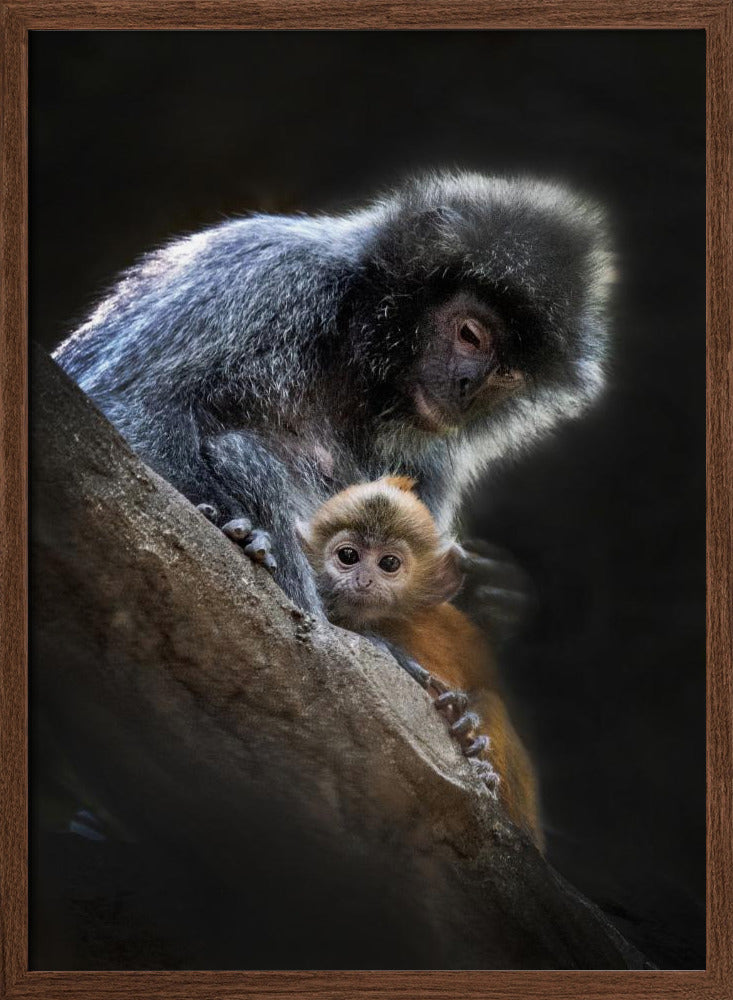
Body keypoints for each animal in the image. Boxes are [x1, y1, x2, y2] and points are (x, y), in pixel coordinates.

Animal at [54, 172, 613, 620]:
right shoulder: (270, 274)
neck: (353, 351)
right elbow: (127, 404)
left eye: (507, 374)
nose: (468, 387)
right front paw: (230, 523)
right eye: (470, 334)